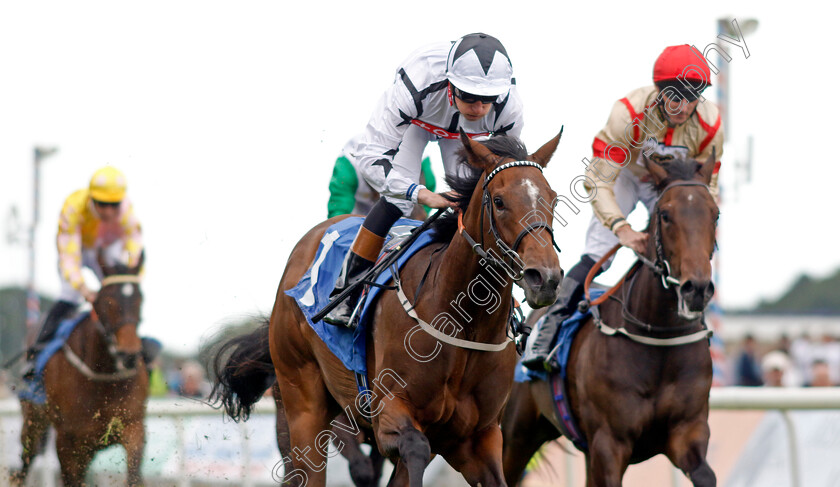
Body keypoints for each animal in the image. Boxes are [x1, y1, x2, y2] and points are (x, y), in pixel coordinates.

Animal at [12, 254, 148, 487]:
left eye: (141, 299)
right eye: (107, 300)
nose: (129, 355)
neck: (103, 377)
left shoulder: (133, 426)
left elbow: (133, 475)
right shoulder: (66, 439)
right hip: (32, 419)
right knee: (26, 460)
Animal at [212, 132, 564, 486]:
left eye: (553, 200)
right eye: (500, 201)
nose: (545, 278)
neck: (464, 323)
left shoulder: (478, 437)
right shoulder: (389, 413)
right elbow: (413, 449)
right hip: (301, 400)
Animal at [502, 153, 720, 487]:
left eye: (715, 214)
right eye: (665, 215)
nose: (696, 288)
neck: (658, 339)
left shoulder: (689, 432)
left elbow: (706, 474)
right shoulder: (609, 443)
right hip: (518, 434)